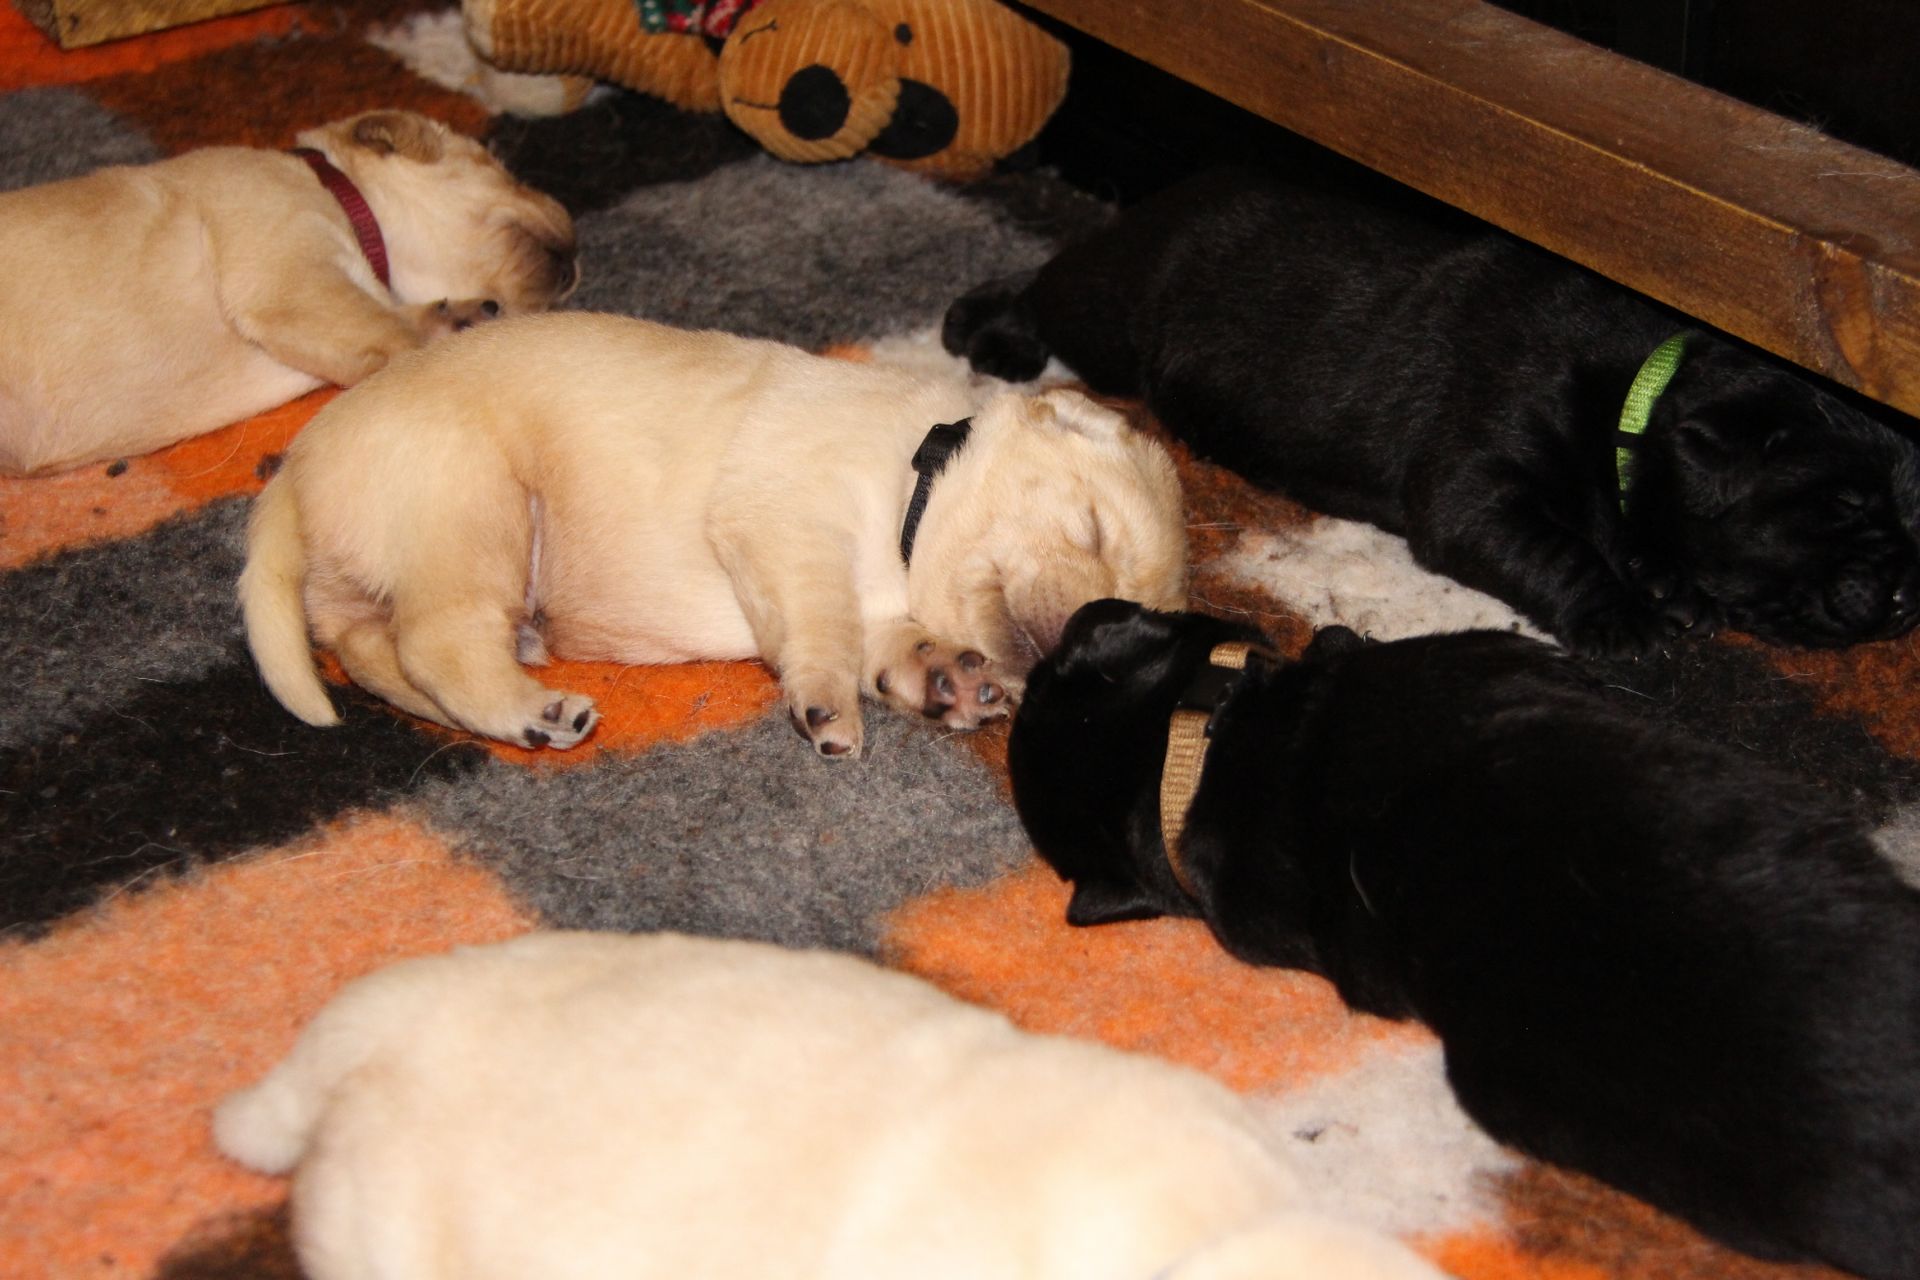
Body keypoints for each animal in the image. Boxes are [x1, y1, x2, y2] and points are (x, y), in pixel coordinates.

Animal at [0, 109, 577, 476]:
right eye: (501, 168)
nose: (579, 247)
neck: (342, 195)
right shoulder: (294, 278)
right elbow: (397, 336)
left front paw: (459, 318)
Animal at [240, 310, 1187, 757]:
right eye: (1094, 532)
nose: (1076, 636)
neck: (913, 479)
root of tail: (295, 470)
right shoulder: (787, 518)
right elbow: (821, 625)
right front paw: (829, 705)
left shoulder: (873, 597)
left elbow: (881, 640)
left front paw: (947, 677)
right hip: (470, 504)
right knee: (437, 644)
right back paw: (535, 711)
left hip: (398, 559)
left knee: (372, 650)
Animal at [944, 167, 1920, 658]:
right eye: (1842, 504)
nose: (1909, 598)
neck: (1632, 397)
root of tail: (1165, 192)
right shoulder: (1476, 485)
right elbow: (1557, 545)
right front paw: (1624, 615)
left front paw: (1665, 581)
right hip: (1115, 307)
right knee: (1052, 286)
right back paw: (987, 329)